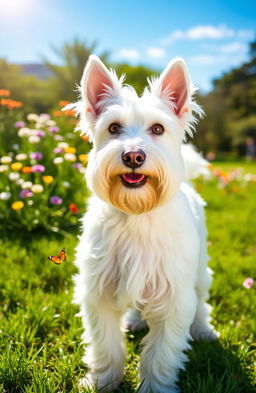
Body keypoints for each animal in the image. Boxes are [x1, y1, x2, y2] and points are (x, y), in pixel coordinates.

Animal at [72, 55, 216, 392]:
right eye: (113, 127)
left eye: (158, 128)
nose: (133, 156)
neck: (136, 214)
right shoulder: (98, 292)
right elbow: (106, 346)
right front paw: (102, 380)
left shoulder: (174, 296)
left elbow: (161, 353)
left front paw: (154, 385)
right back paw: (135, 320)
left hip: (199, 270)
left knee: (202, 301)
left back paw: (203, 329)